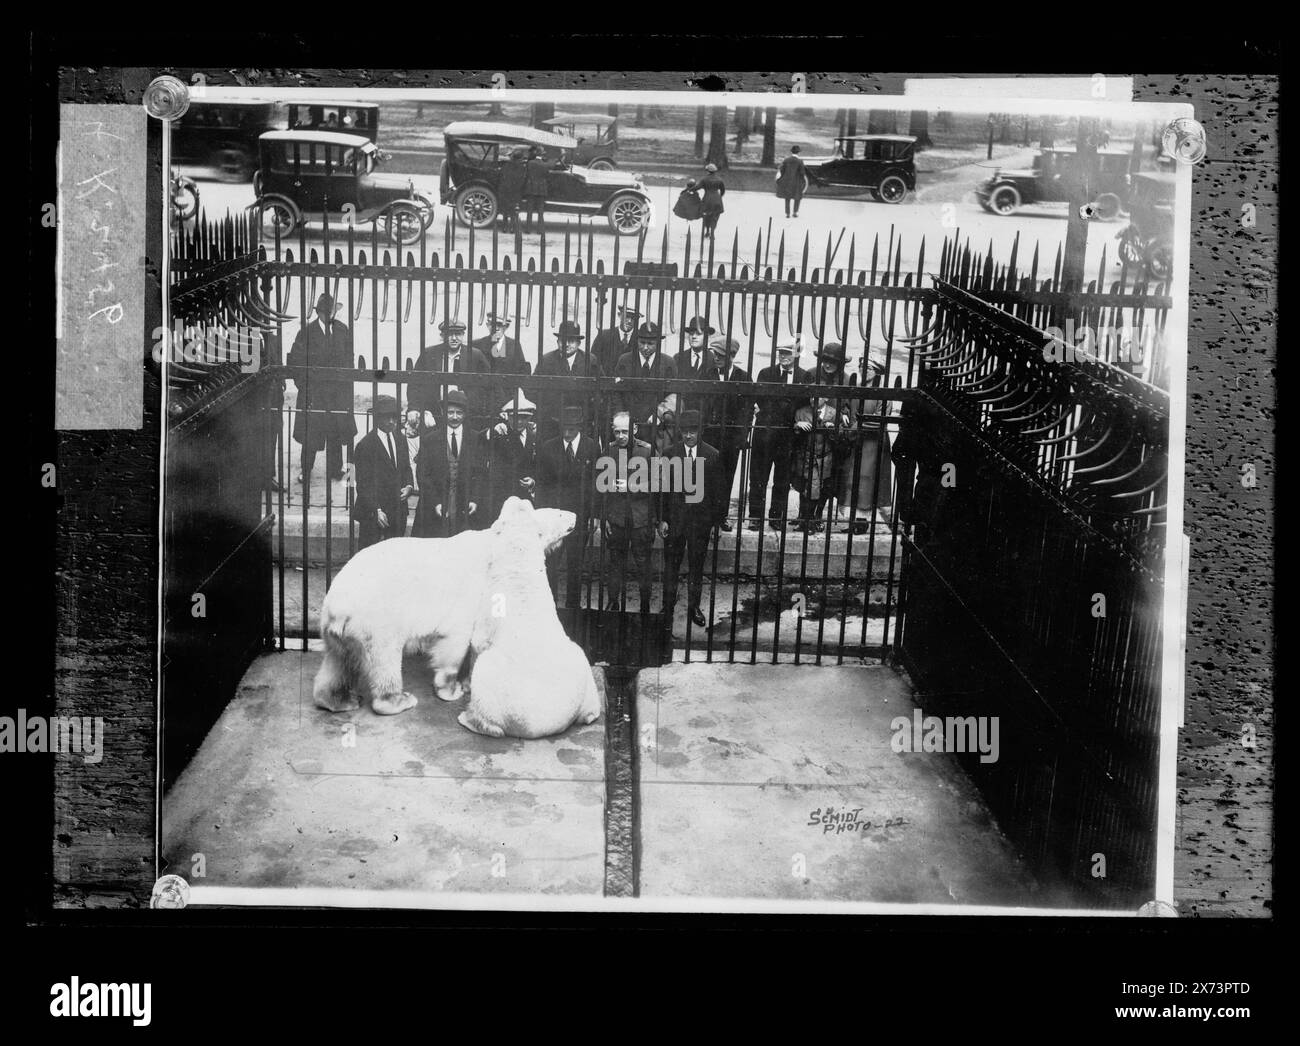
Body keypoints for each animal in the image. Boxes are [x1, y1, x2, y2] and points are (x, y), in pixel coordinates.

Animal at [312, 498, 577, 712]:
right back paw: (399, 700)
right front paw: (452, 689)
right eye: (558, 512)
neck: (499, 547)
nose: (574, 515)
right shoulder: (474, 591)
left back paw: (340, 700)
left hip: (338, 630)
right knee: (383, 658)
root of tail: (336, 607)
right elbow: (457, 639)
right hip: (375, 620)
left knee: (339, 662)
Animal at [457, 496, 603, 732]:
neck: (519, 564)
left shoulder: (490, 608)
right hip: (581, 671)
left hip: (502, 693)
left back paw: (469, 718)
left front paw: (466, 684)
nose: (516, 497)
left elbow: (477, 641)